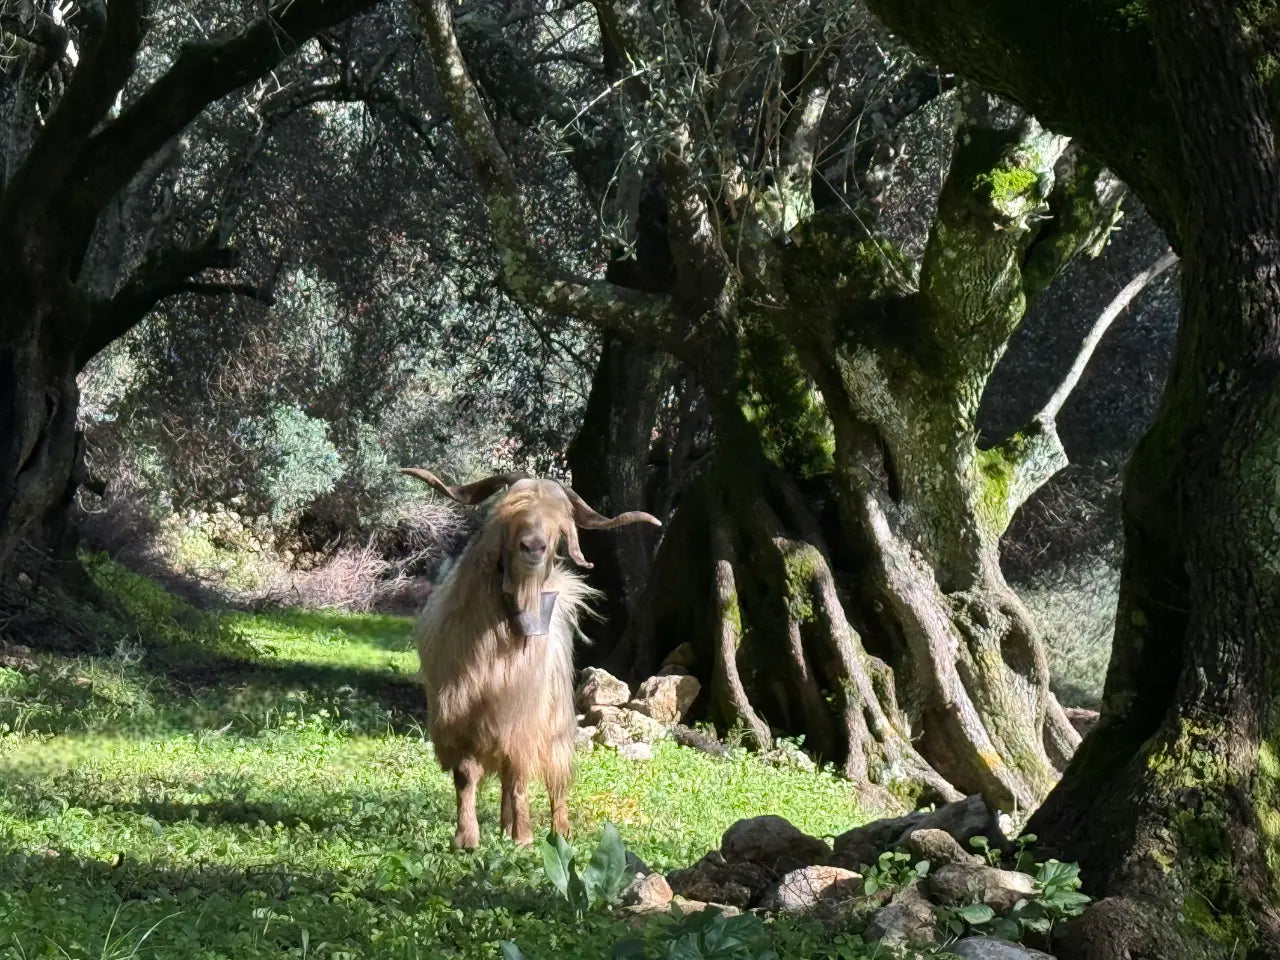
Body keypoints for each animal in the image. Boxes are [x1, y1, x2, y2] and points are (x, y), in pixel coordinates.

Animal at [399, 467, 660, 849]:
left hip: (556, 717)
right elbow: (466, 775)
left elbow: (520, 776)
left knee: (554, 777)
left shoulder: (522, 717)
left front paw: (523, 837)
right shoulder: (456, 715)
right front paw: (466, 838)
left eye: (560, 525)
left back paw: (557, 832)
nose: (533, 547)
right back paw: (506, 825)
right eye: (510, 512)